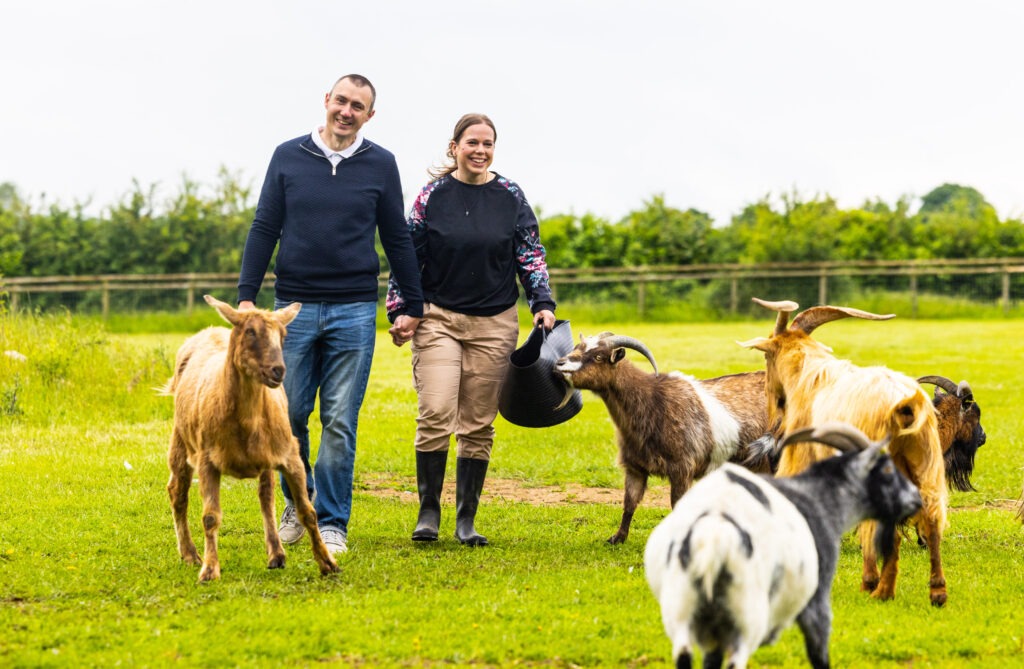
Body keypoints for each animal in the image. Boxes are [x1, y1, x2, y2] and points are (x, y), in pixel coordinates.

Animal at [162, 295, 339, 581]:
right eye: (250, 332)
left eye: (283, 334)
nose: (278, 370)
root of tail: (209, 330)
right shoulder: (207, 460)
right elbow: (210, 517)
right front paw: (209, 569)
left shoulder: (290, 455)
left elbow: (308, 512)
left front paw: (328, 562)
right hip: (180, 440)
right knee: (177, 493)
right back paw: (189, 554)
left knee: (266, 496)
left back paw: (276, 554)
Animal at [552, 331, 770, 545]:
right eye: (577, 348)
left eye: (598, 356)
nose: (559, 364)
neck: (654, 402)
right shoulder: (635, 467)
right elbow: (629, 503)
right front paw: (617, 538)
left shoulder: (682, 467)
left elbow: (677, 505)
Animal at [643, 422, 925, 667]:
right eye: (887, 470)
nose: (916, 499)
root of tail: (713, 537)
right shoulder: (816, 600)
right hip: (746, 616)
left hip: (683, 612)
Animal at [737, 297, 950, 606]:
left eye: (767, 358)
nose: (772, 403)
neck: (810, 377)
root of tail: (905, 404)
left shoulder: (801, 456)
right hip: (926, 461)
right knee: (932, 518)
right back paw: (936, 592)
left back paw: (879, 588)